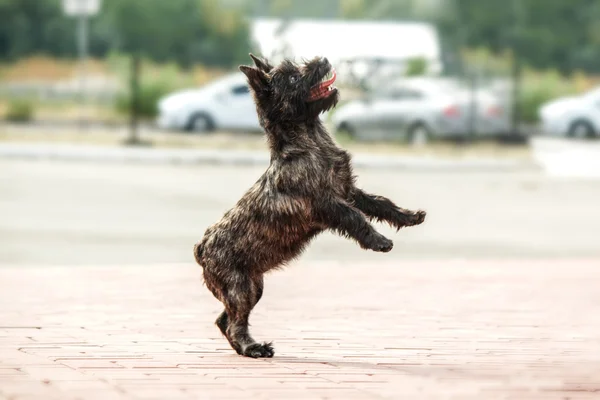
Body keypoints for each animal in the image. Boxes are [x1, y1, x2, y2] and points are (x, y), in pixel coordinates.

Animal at [193, 54, 426, 360]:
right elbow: (356, 218)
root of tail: (201, 249)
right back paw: (254, 348)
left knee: (224, 319)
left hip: (254, 286)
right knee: (234, 323)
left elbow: (380, 204)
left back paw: (247, 348)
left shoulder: (348, 191)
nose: (323, 59)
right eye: (293, 78)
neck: (309, 139)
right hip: (241, 288)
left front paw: (409, 217)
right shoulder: (327, 203)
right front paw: (379, 241)